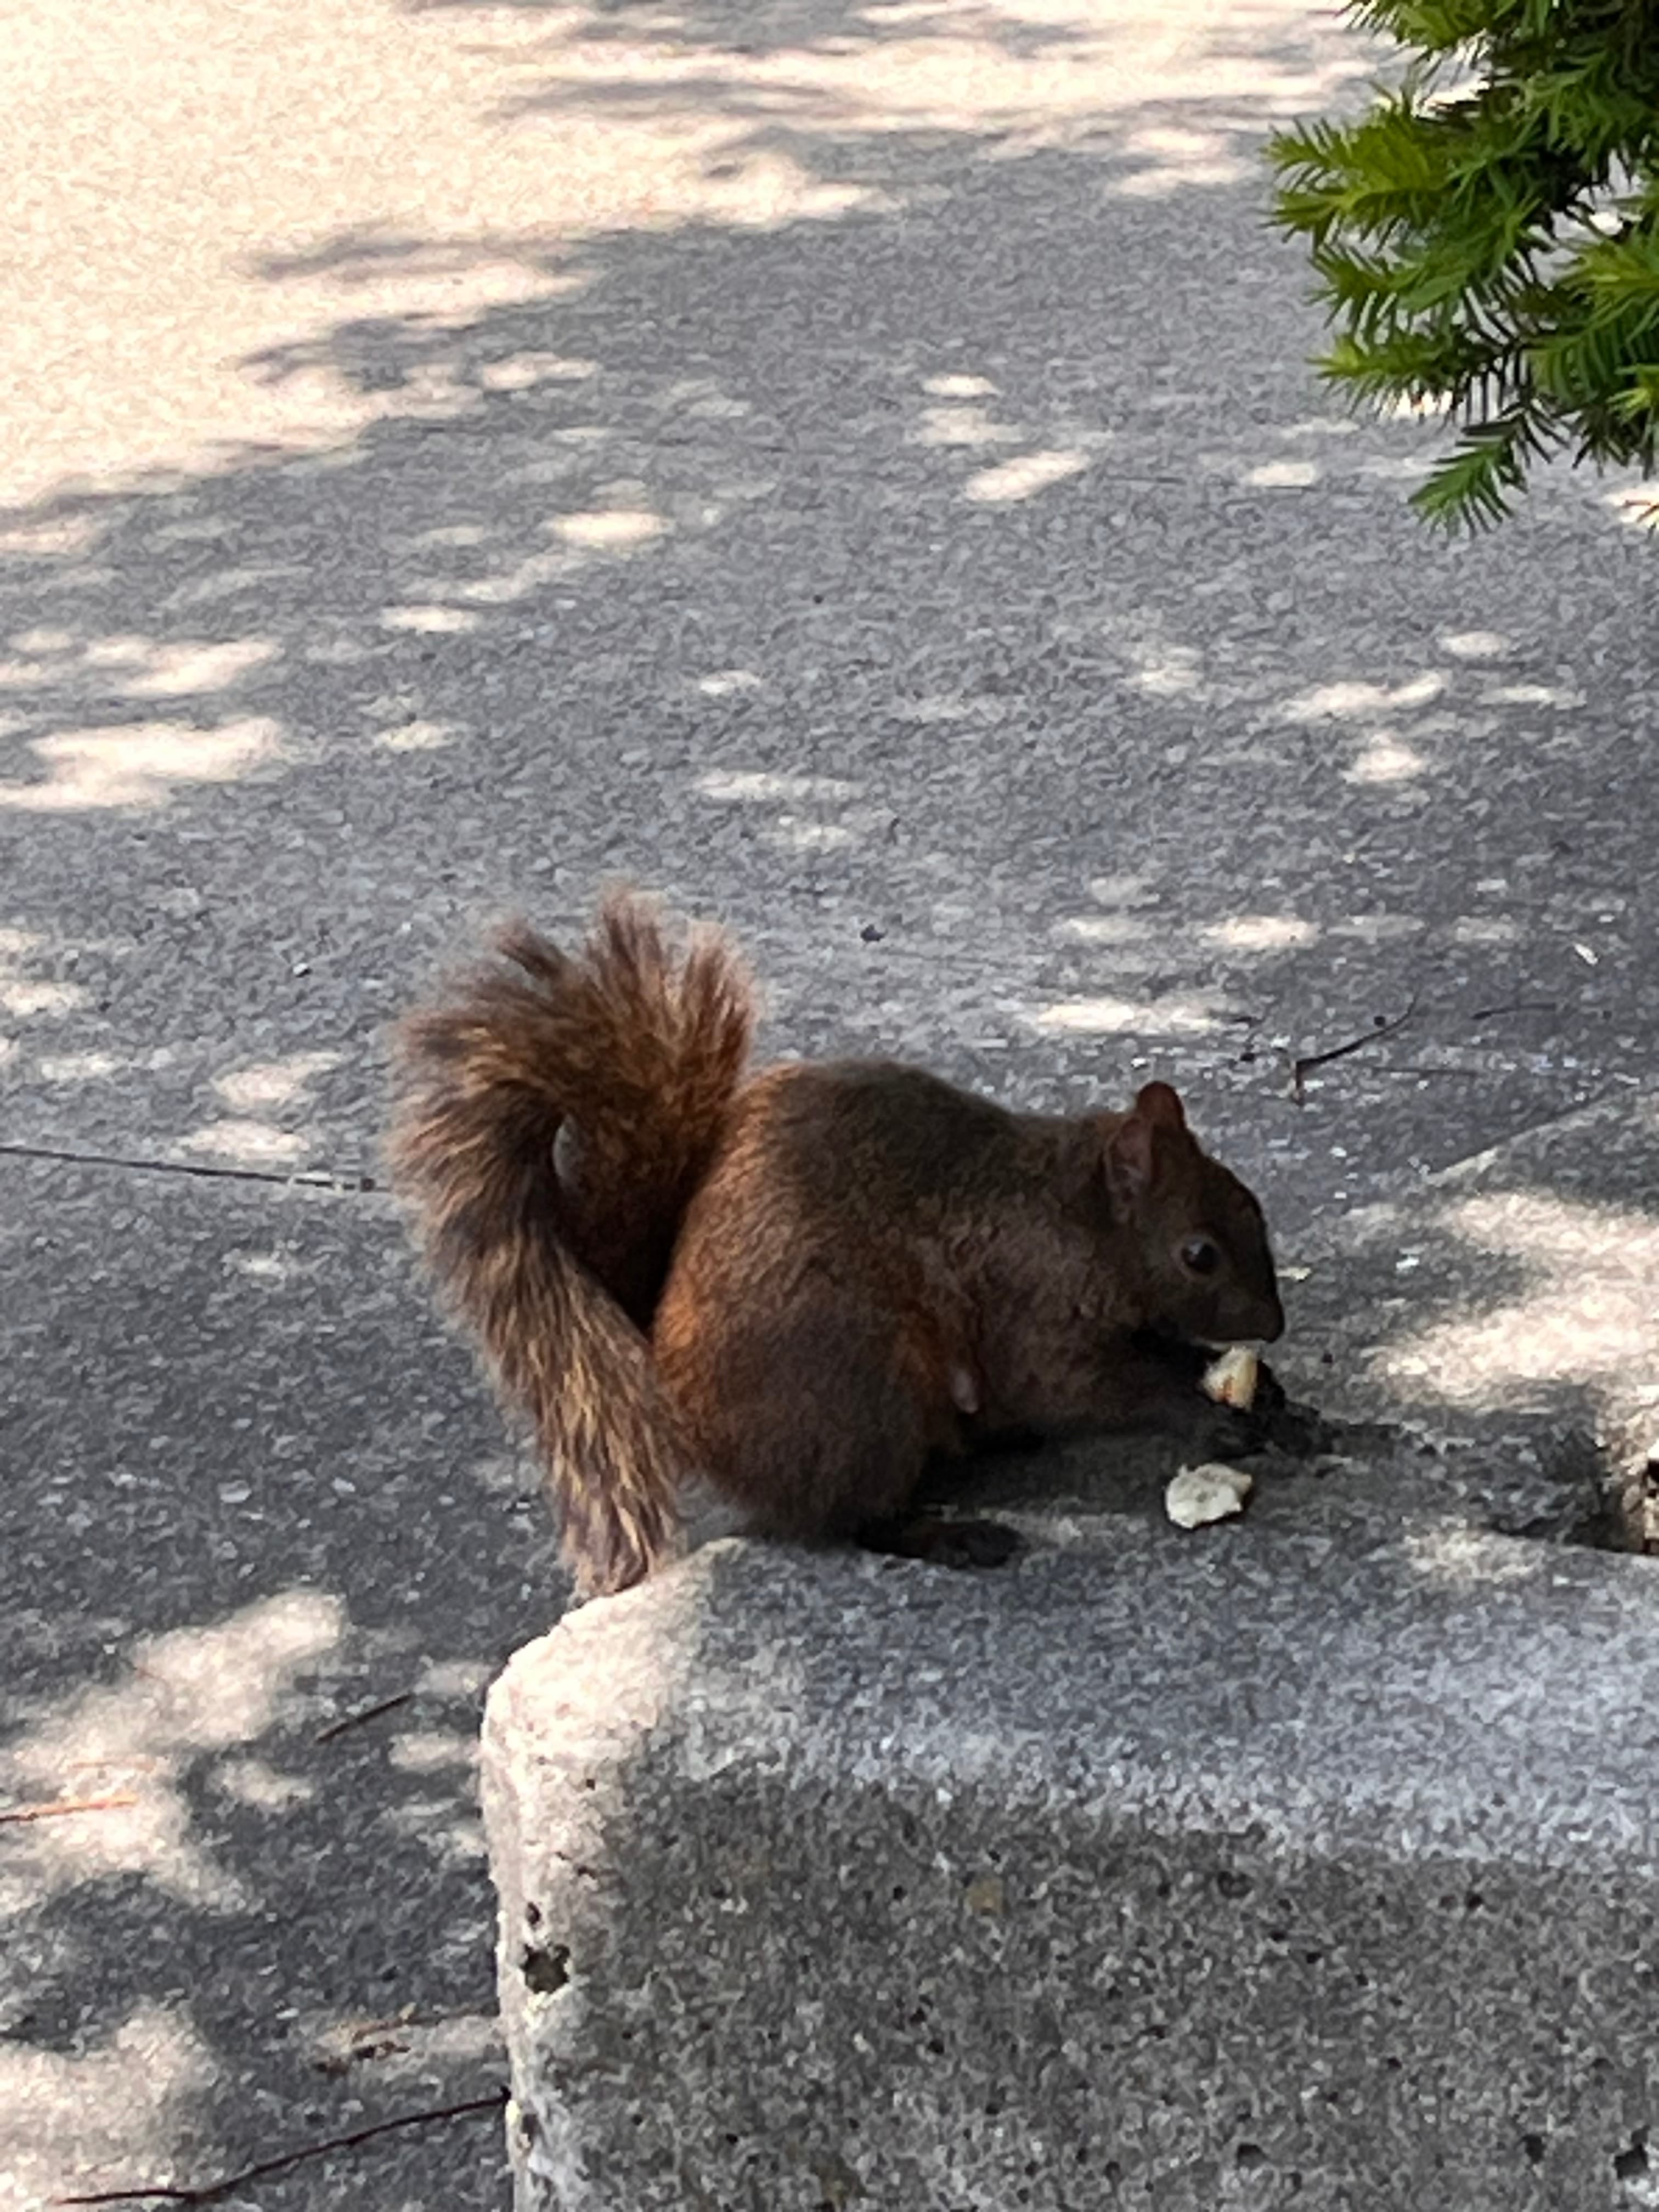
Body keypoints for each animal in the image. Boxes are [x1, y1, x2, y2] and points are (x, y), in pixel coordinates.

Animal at [387, 891, 1287, 1599]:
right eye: (1199, 1253)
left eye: (1253, 1203)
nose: (1273, 1326)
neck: (1073, 1213)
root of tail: (677, 1396)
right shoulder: (1029, 1303)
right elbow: (1079, 1388)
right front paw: (1201, 1417)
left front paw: (1268, 1396)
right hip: (860, 1391)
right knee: (855, 1516)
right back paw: (949, 1535)